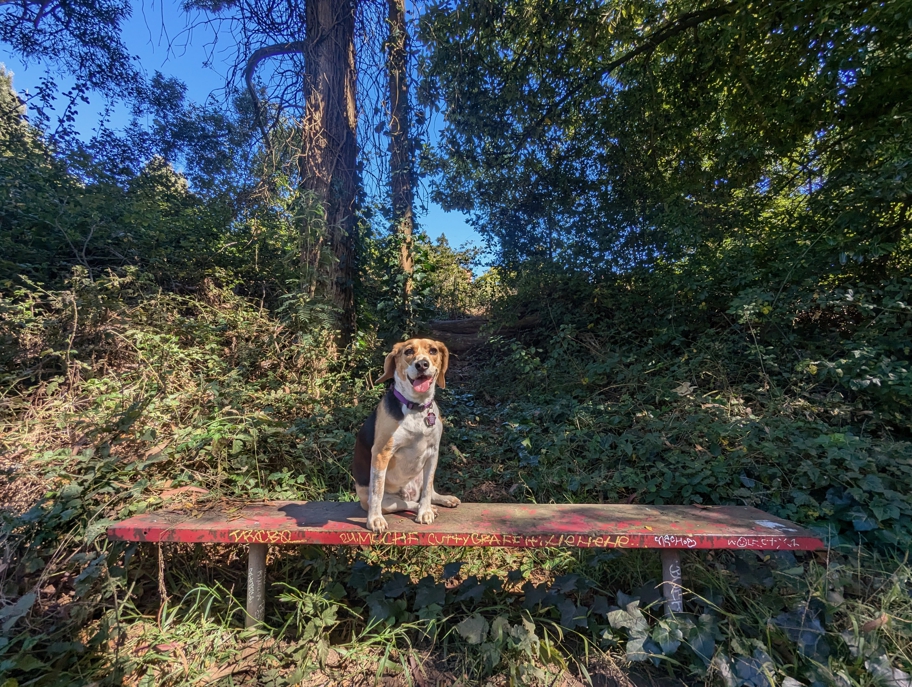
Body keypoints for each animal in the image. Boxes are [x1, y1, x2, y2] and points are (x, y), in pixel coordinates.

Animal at [350, 338, 460, 532]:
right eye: (408, 351)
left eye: (433, 350)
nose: (422, 364)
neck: (417, 406)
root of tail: (409, 494)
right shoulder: (381, 454)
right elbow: (376, 492)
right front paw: (375, 520)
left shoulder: (433, 453)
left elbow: (427, 490)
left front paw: (425, 512)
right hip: (387, 502)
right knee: (405, 503)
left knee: (427, 492)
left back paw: (440, 501)